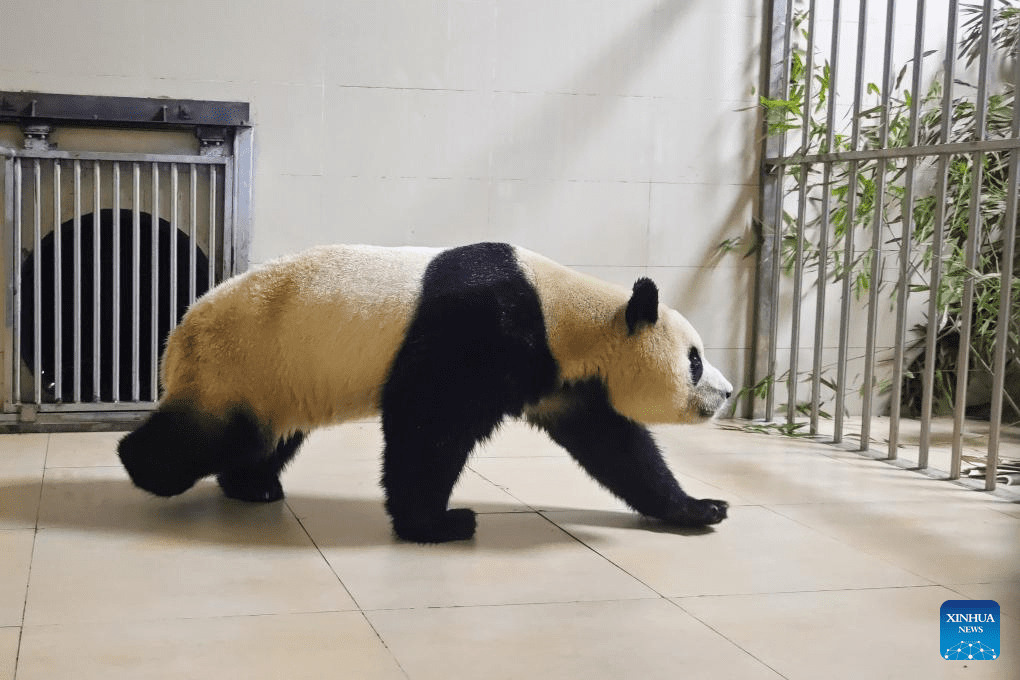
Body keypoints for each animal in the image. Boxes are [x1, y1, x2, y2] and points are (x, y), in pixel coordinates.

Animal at [117, 241, 734, 546]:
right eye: (694, 359)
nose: (727, 393)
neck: (565, 312)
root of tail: (177, 334)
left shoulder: (561, 378)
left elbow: (616, 447)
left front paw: (698, 508)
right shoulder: (482, 327)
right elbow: (429, 423)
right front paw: (440, 524)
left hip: (276, 380)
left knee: (263, 438)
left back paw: (254, 486)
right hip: (241, 361)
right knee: (207, 435)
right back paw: (142, 467)